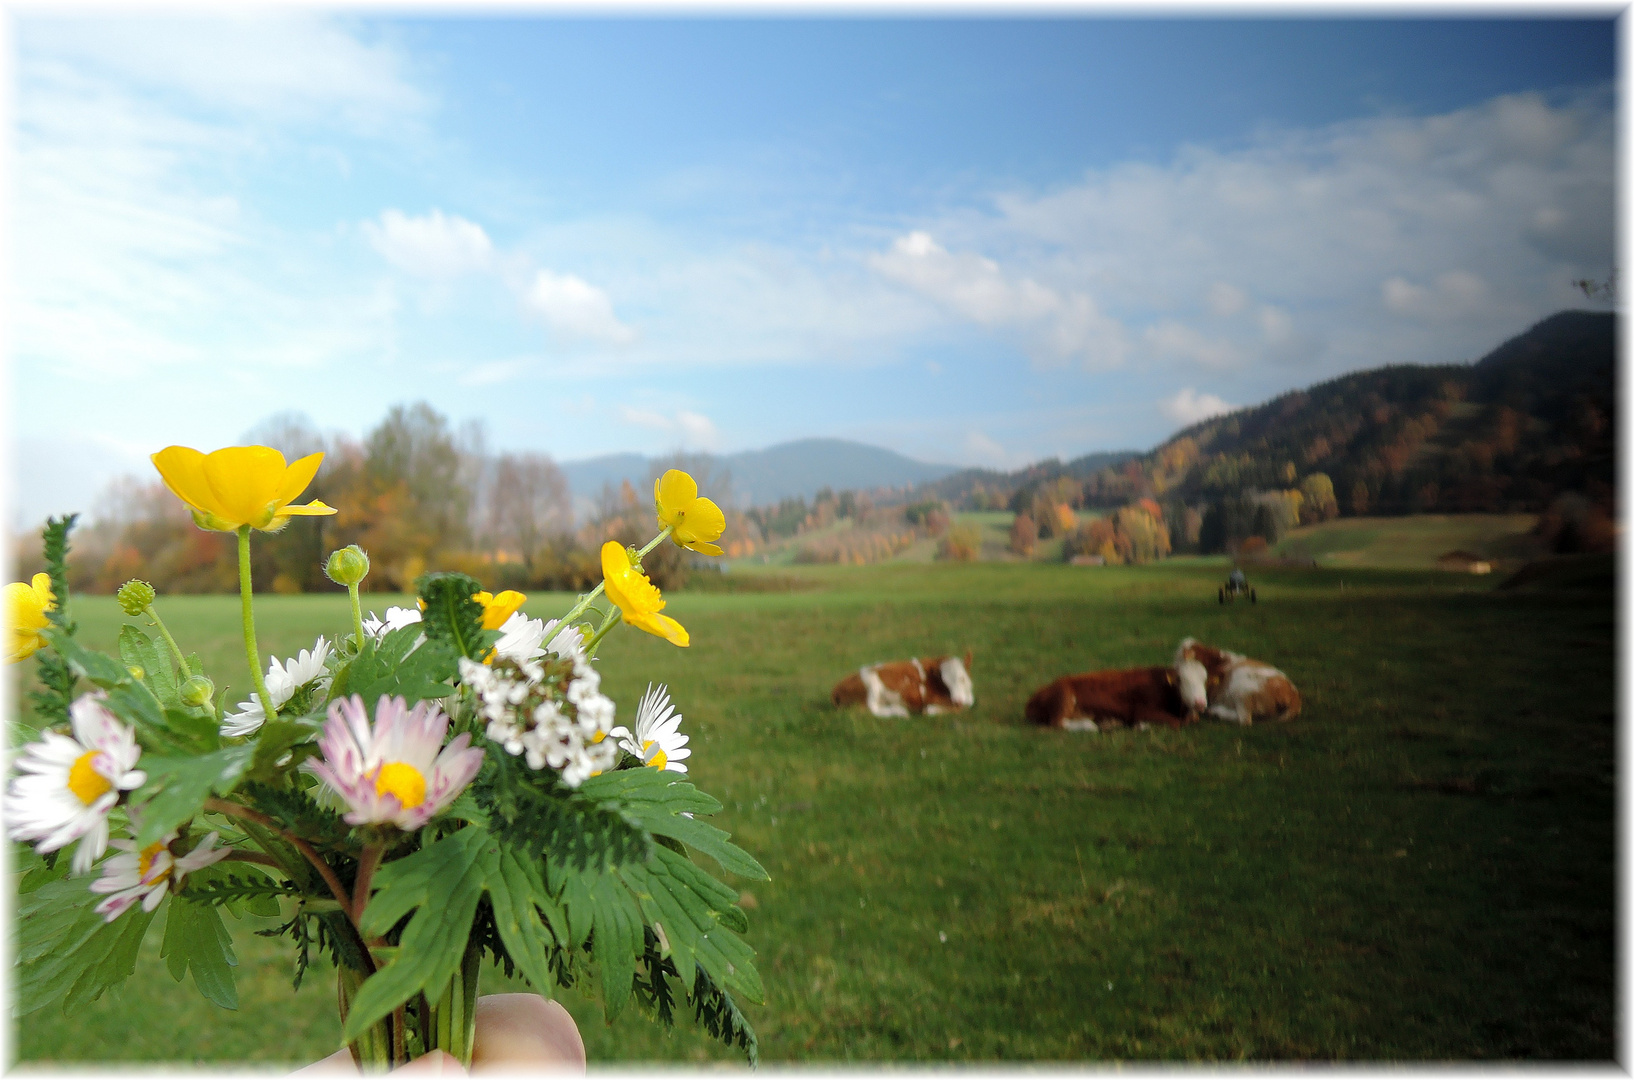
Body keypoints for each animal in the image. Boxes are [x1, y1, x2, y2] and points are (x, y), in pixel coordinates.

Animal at [830, 650, 967, 715]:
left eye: (962, 678)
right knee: (871, 709)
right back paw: (900, 712)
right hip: (871, 683)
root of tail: (835, 688)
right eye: (945, 679)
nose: (958, 700)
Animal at [1019, 653, 1215, 728]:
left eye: (1205, 681)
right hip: (1064, 696)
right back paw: (1091, 726)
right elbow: (1176, 723)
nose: (1200, 703)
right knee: (1058, 723)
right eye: (1182, 680)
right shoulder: (1142, 710)